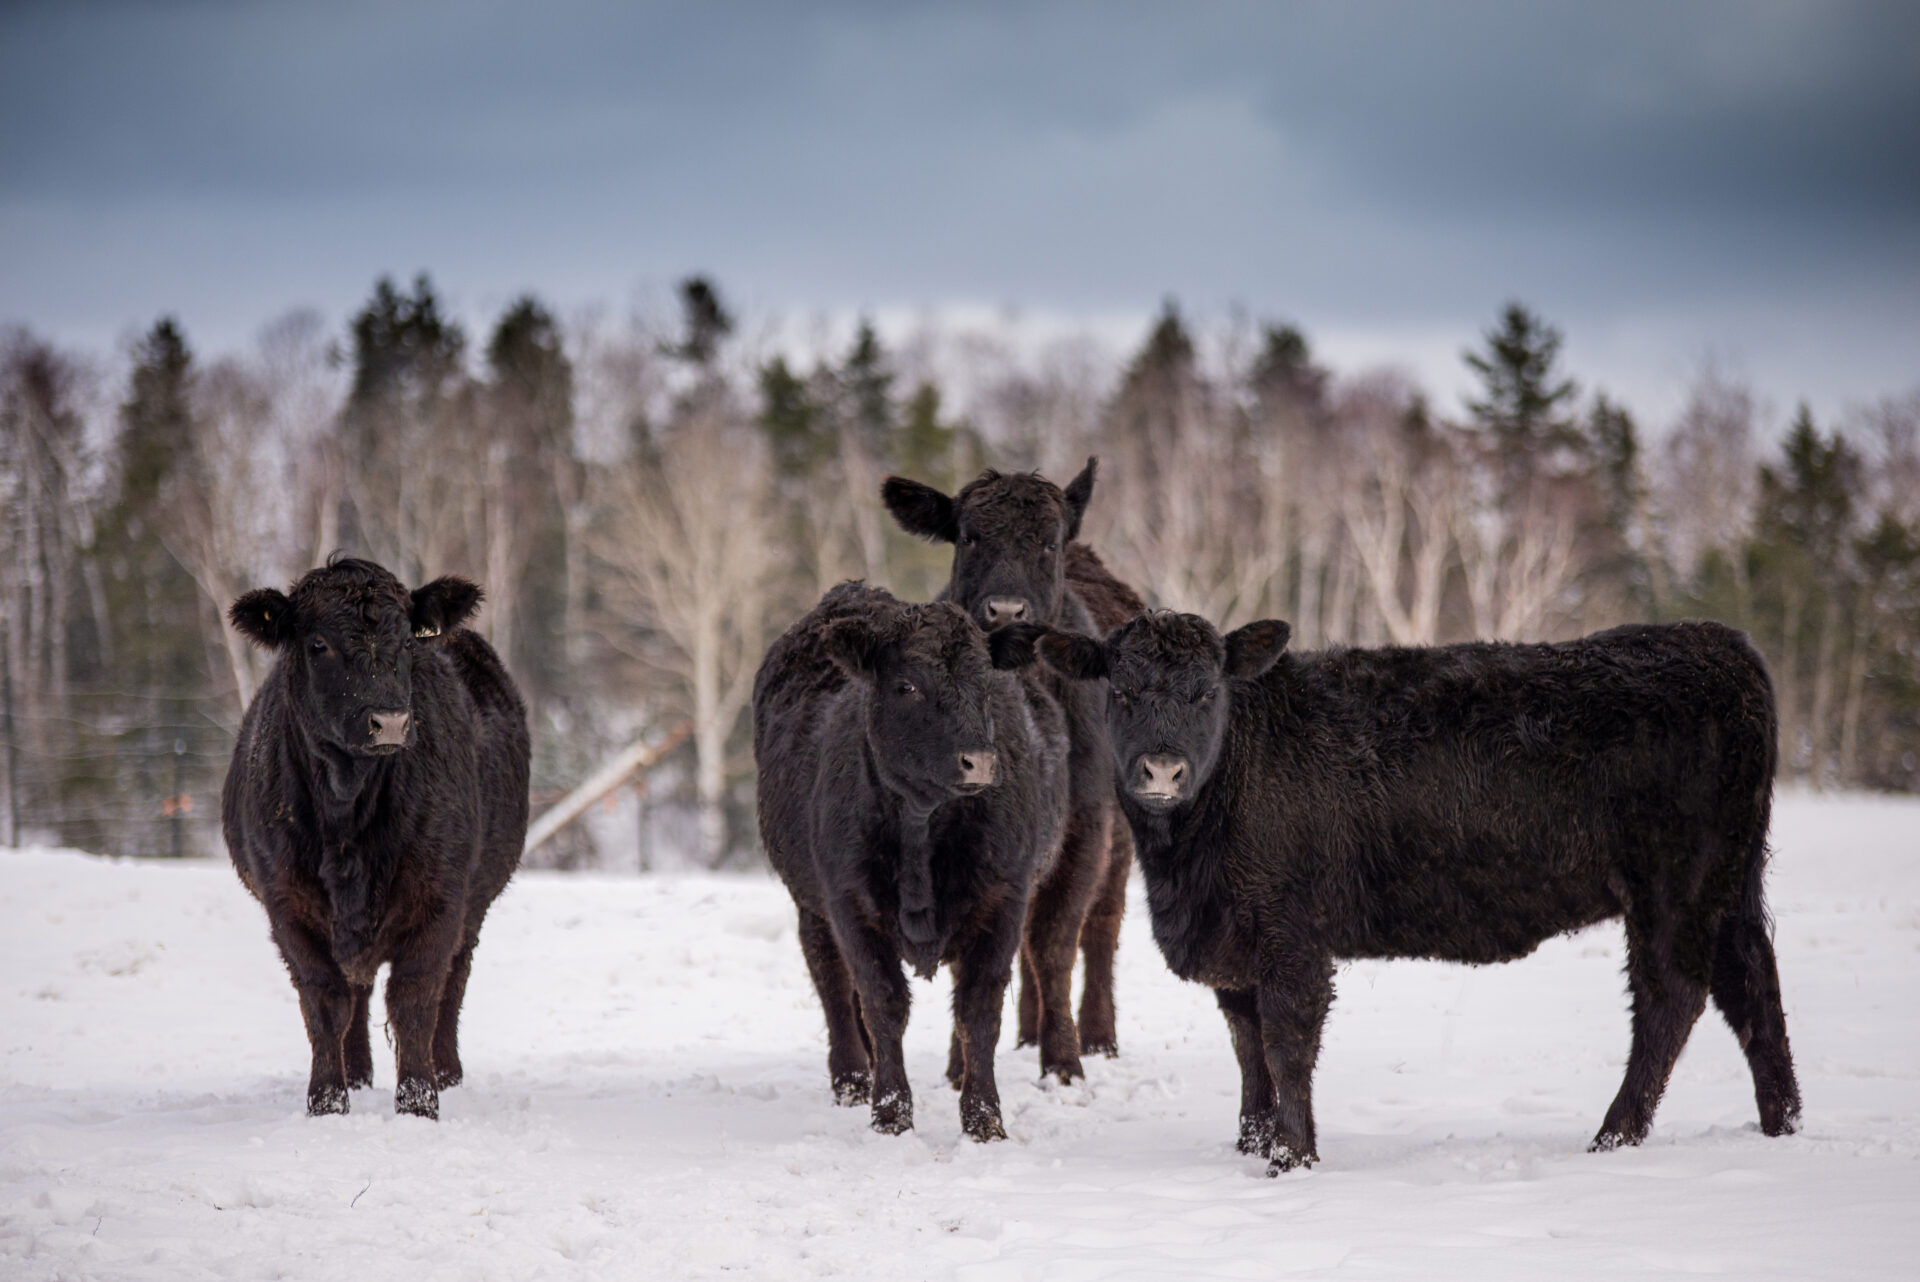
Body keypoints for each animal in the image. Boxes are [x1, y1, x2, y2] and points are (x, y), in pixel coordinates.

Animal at [220, 556, 529, 1113]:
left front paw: (419, 1104)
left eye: (407, 642)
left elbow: (415, 1000)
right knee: (356, 991)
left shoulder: (440, 899)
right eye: (318, 644)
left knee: (453, 980)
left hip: (474, 904)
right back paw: (359, 1076)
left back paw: (446, 1072)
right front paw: (327, 1102)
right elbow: (324, 1002)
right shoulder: (287, 904)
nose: (389, 721)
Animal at [752, 583, 1082, 1143]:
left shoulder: (1004, 901)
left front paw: (984, 1120)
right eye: (907, 686)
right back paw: (851, 1080)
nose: (980, 762)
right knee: (832, 982)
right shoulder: (849, 903)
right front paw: (890, 1114)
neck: (921, 825)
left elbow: (978, 1010)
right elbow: (882, 1002)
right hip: (811, 905)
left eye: (987, 686)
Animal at [879, 460, 1136, 1082]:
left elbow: (1056, 941)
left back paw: (1097, 1036)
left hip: (1122, 835)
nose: (1006, 611)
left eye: (1048, 541)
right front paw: (959, 1064)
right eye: (968, 536)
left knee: (1100, 929)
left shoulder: (1086, 825)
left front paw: (1064, 1062)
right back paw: (1025, 1033)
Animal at [1036, 610, 1797, 1174]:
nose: (1162, 770)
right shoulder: (1236, 947)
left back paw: (1614, 1136)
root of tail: (1716, 641)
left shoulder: (1292, 940)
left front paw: (1290, 1156)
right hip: (1729, 887)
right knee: (1751, 988)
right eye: (1121, 690)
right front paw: (1251, 1143)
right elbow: (1247, 1045)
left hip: (1675, 889)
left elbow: (1286, 1043)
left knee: (1671, 1000)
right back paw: (1780, 1124)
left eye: (1204, 691)